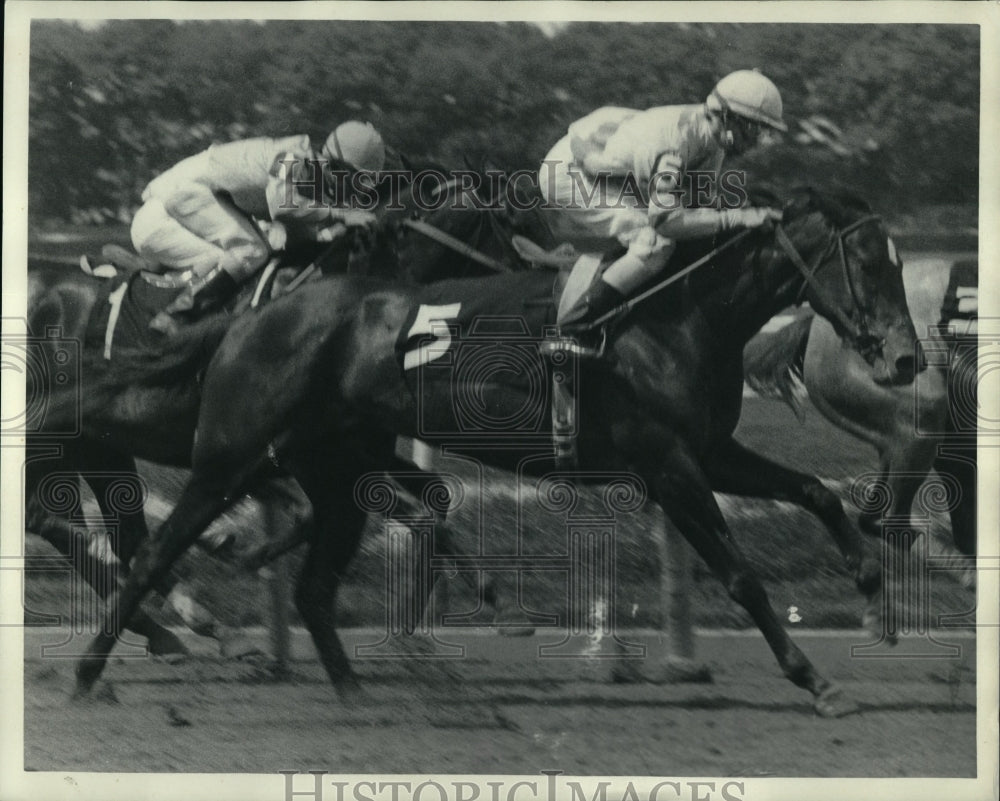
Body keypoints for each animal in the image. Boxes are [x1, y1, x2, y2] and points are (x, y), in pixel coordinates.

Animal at [74, 188, 924, 712]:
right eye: (868, 261)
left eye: (898, 262)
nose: (907, 359)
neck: (679, 316)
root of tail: (253, 315)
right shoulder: (670, 467)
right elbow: (743, 576)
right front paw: (814, 678)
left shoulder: (710, 450)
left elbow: (815, 489)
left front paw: (872, 588)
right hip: (230, 454)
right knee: (153, 554)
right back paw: (91, 671)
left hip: (338, 468)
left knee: (313, 587)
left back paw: (353, 691)